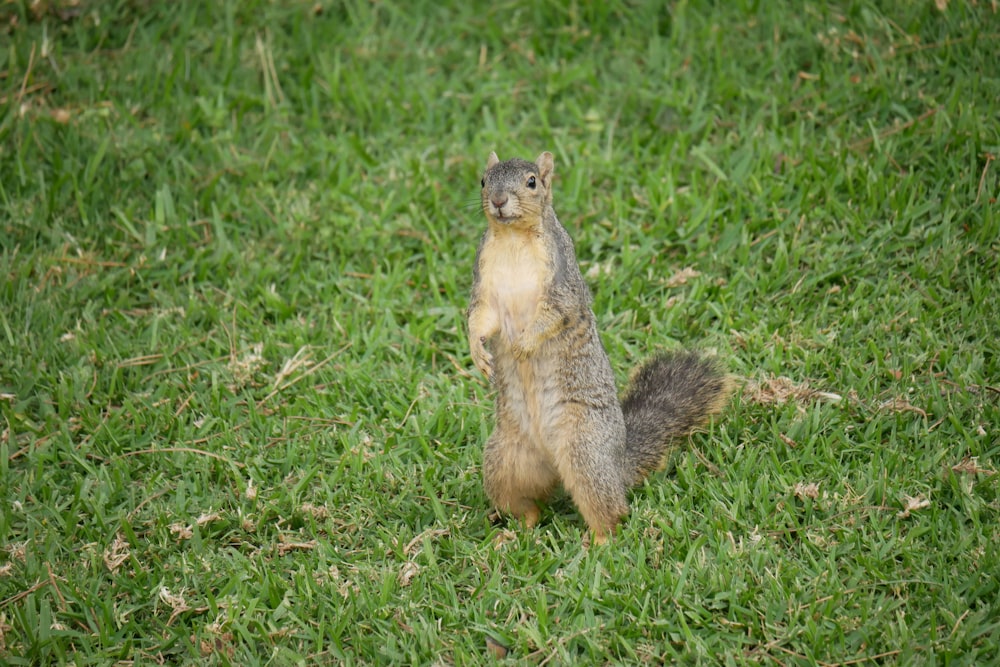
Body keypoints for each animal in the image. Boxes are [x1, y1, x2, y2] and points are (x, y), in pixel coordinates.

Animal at [468, 150, 736, 544]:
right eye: (484, 180)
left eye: (532, 181)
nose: (499, 201)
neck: (513, 239)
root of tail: (617, 460)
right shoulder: (484, 282)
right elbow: (480, 316)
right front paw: (477, 351)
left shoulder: (563, 282)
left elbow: (554, 313)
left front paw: (523, 347)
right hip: (505, 460)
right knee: (528, 505)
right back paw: (515, 535)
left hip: (585, 451)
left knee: (612, 512)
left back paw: (598, 543)